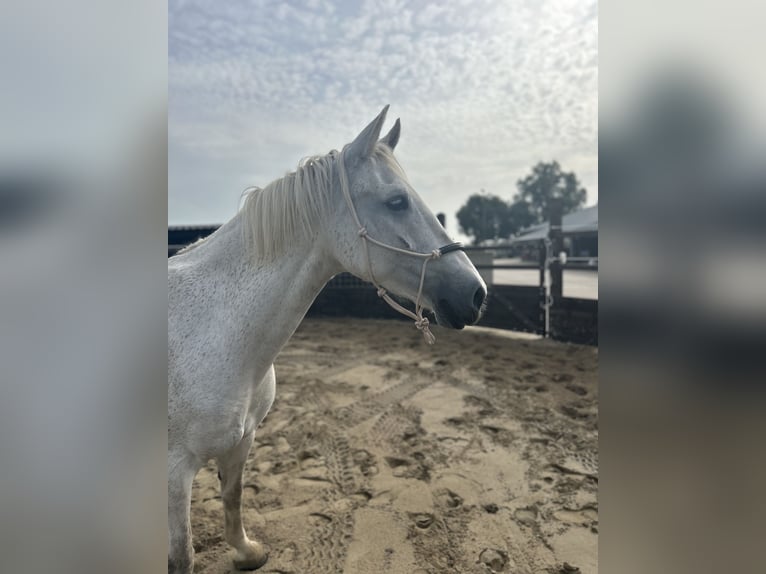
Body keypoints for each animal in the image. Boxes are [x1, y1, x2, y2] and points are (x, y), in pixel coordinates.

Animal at [170, 106, 488, 572]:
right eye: (397, 201)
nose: (477, 294)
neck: (217, 330)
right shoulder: (174, 471)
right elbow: (183, 555)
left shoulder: (242, 442)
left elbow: (234, 496)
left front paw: (247, 552)